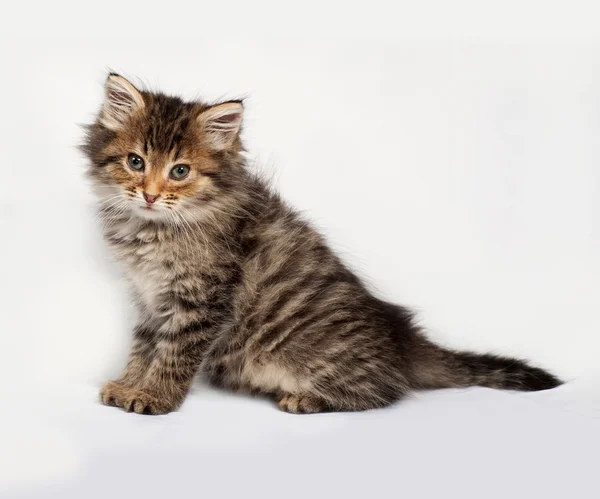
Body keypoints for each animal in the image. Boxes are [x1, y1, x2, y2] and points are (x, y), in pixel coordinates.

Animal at [81, 74, 564, 416]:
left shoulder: (203, 301)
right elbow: (145, 346)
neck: (154, 229)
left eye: (180, 171)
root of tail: (403, 341)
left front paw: (156, 397)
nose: (149, 194)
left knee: (384, 392)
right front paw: (129, 384)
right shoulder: (150, 298)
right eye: (135, 162)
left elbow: (174, 355)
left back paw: (309, 399)